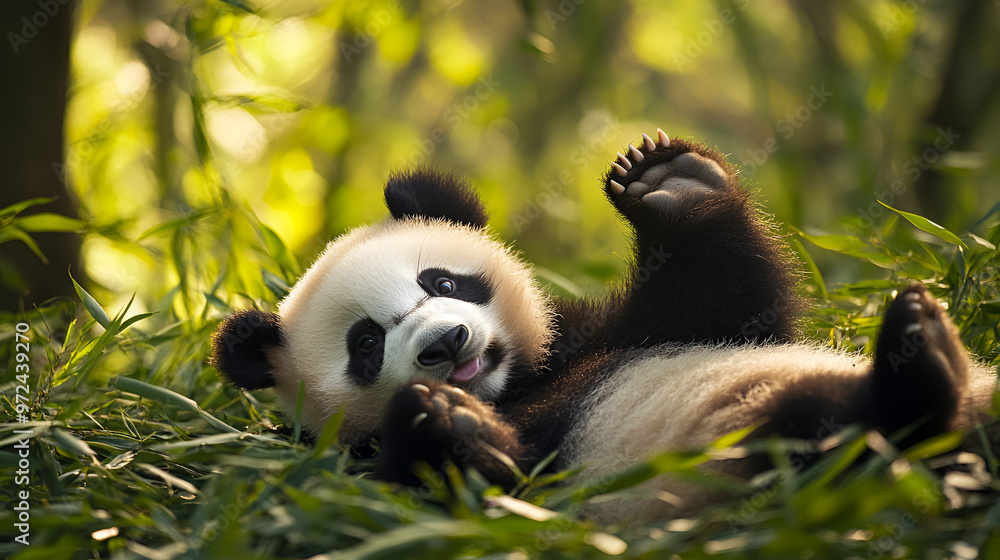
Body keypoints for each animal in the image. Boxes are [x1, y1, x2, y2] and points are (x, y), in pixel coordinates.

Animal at [211, 129, 996, 522]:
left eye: (442, 282)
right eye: (367, 344)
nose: (445, 344)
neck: (520, 386)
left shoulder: (609, 332)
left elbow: (731, 302)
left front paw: (669, 183)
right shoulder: (341, 467)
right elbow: (455, 494)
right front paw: (445, 421)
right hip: (742, 461)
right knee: (837, 435)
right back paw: (918, 368)